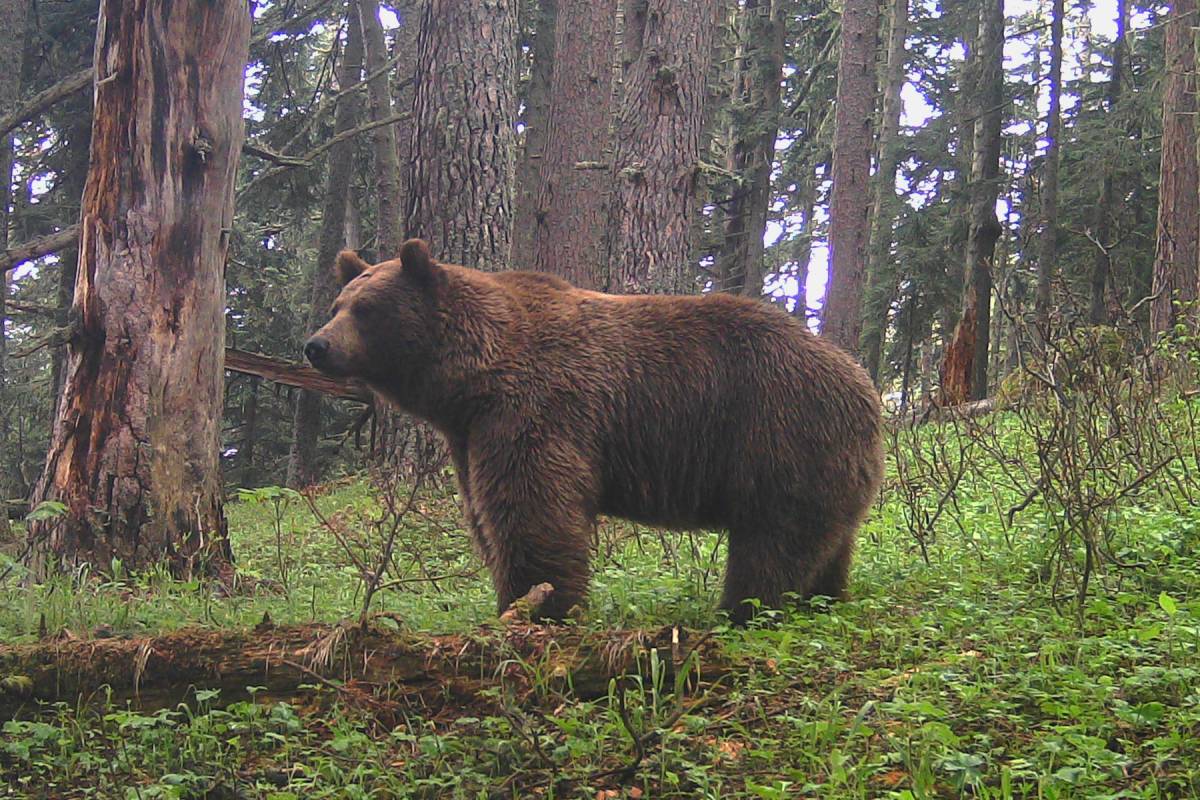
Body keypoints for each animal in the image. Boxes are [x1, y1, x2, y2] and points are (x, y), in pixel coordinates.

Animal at [304, 239, 884, 624]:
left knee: (772, 542)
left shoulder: (539, 406)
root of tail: (863, 384)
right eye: (337, 305)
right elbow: (485, 514)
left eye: (367, 309)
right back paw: (825, 598)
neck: (471, 381)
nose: (316, 345)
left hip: (778, 431)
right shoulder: (470, 435)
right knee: (827, 542)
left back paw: (742, 610)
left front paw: (541, 606)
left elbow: (534, 510)